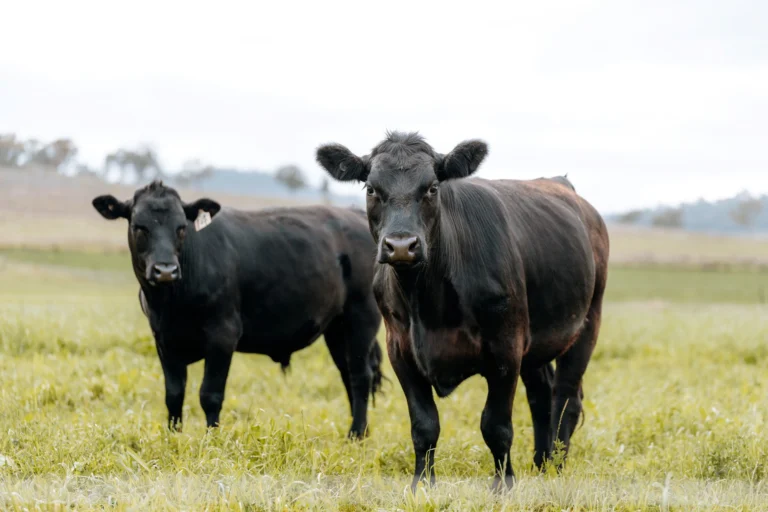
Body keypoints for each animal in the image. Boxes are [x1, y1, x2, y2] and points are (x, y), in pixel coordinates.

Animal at [92, 181, 383, 439]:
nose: (165, 270)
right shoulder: (164, 340)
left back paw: (356, 434)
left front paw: (212, 440)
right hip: (336, 328)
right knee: (347, 374)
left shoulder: (223, 335)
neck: (171, 303)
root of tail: (356, 214)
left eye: (181, 227)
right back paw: (361, 431)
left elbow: (210, 394)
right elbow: (173, 394)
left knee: (361, 376)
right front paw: (173, 437)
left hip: (362, 318)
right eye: (139, 227)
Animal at [316, 132, 609, 491]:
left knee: (565, 398)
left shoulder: (505, 347)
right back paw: (540, 463)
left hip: (587, 324)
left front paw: (503, 485)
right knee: (541, 395)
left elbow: (496, 425)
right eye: (371, 188)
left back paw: (555, 466)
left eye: (432, 188)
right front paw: (422, 484)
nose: (401, 246)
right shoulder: (400, 349)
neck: (428, 303)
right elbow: (424, 425)